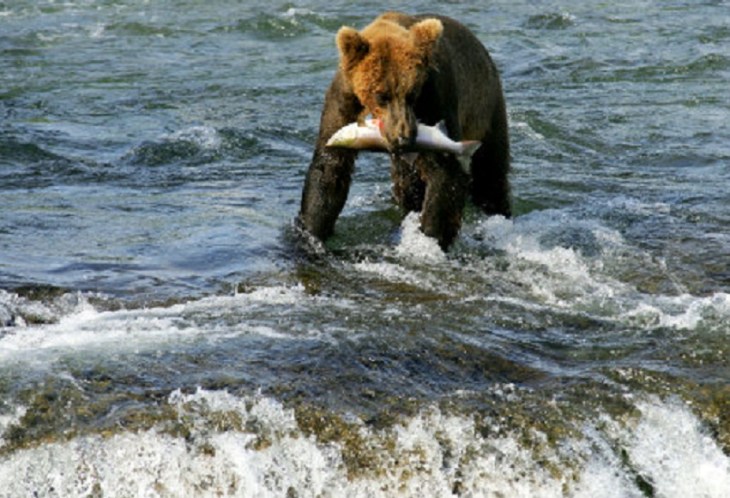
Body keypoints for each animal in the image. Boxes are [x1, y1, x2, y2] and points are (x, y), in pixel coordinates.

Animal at [298, 12, 510, 250]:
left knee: (490, 172)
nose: (405, 137)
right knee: (409, 185)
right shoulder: (344, 100)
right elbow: (329, 166)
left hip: (485, 109)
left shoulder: (435, 97)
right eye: (381, 95)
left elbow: (445, 172)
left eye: (412, 93)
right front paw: (311, 232)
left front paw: (429, 237)